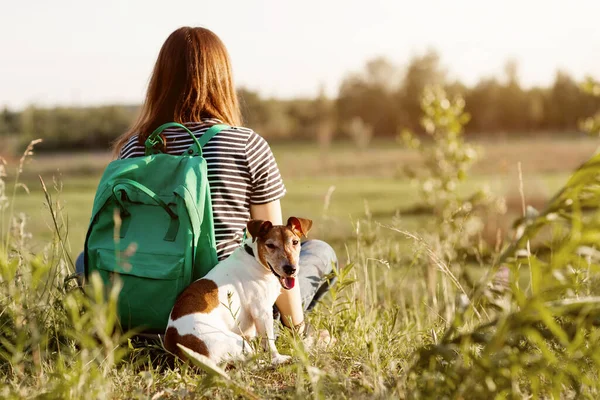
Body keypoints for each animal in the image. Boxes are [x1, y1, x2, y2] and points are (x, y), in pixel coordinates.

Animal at [164, 216, 314, 366]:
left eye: (295, 242)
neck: (255, 258)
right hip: (236, 341)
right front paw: (277, 357)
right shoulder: (262, 311)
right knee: (254, 363)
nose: (291, 269)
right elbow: (269, 341)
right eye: (270, 245)